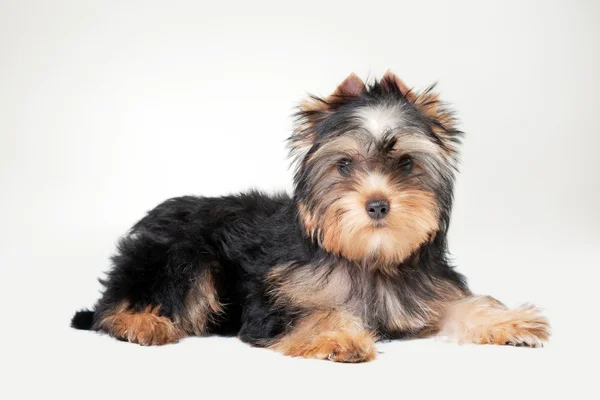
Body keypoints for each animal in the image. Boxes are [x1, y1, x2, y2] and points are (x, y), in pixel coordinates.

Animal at [72, 72, 552, 362]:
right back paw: (144, 323)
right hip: (180, 254)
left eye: (406, 164)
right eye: (344, 166)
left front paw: (508, 321)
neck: (368, 257)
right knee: (113, 307)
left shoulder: (423, 292)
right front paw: (338, 336)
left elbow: (461, 305)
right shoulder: (272, 302)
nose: (377, 204)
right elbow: (312, 314)